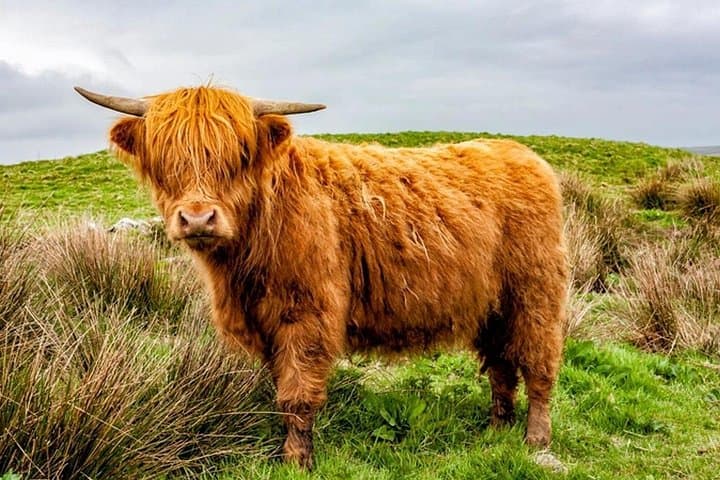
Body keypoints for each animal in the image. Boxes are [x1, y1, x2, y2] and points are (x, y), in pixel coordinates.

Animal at [76, 85, 568, 469]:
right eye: (164, 158)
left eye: (239, 155)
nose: (198, 218)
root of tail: (518, 152)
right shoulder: (263, 324)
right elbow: (280, 387)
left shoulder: (306, 312)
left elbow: (297, 392)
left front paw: (297, 460)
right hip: (492, 306)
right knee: (501, 364)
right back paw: (497, 430)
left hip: (536, 292)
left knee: (538, 364)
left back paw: (535, 438)